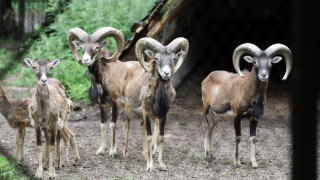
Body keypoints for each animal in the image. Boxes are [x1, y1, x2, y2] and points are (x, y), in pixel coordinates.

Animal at [68, 27, 139, 158]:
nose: (85, 60)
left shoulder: (116, 104)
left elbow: (112, 124)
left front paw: (112, 151)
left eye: (96, 47)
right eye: (81, 47)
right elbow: (103, 125)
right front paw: (101, 150)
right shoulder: (102, 105)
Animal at [122, 37, 188, 171]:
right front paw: (149, 166)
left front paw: (161, 165)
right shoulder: (147, 112)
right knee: (127, 127)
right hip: (128, 109)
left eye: (173, 58)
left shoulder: (163, 115)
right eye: (157, 58)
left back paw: (144, 155)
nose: (166, 73)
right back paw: (125, 154)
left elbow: (161, 137)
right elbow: (150, 136)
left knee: (142, 127)